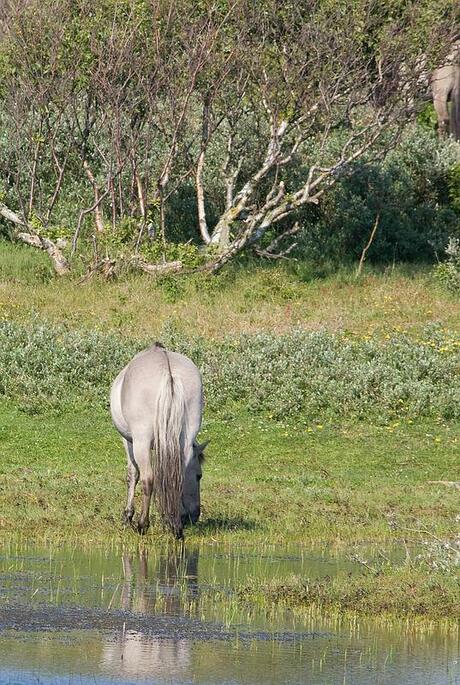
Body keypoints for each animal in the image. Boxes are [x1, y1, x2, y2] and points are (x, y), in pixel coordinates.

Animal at [110, 344, 206, 536]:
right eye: (199, 476)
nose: (195, 516)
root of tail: (169, 373)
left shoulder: (128, 441)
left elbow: (133, 475)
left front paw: (128, 515)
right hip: (184, 439)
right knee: (177, 476)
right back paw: (176, 526)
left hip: (141, 441)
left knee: (148, 479)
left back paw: (142, 524)